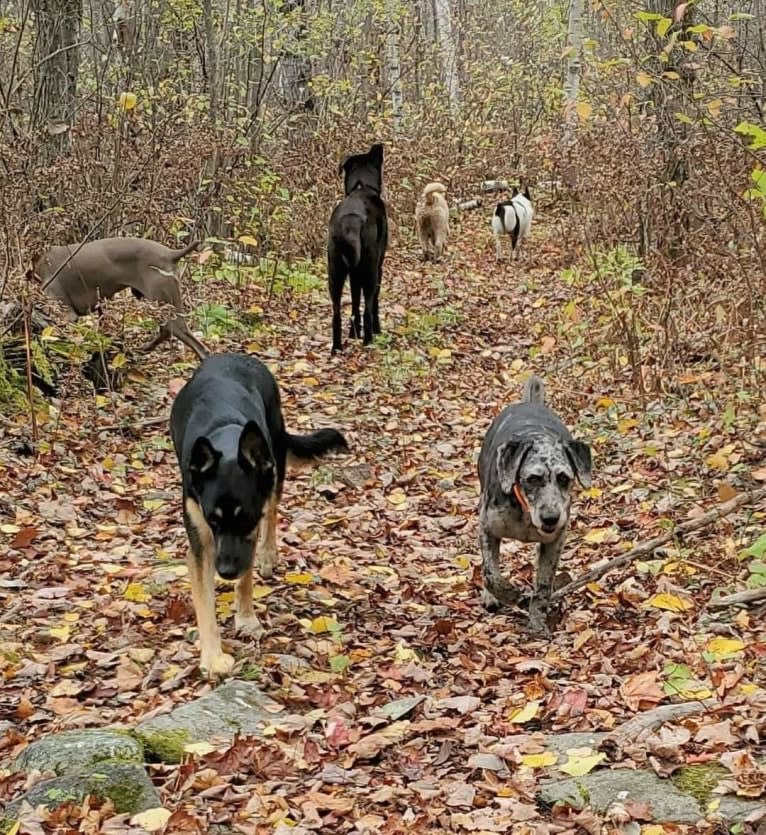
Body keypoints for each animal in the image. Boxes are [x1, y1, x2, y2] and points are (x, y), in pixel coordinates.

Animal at [328, 144, 390, 352]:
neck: (362, 186)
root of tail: (350, 221)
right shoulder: (378, 267)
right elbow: (372, 303)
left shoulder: (354, 275)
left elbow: (355, 302)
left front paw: (353, 333)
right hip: (370, 270)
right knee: (368, 309)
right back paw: (369, 339)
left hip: (335, 272)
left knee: (336, 313)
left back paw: (337, 347)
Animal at [480, 378, 592, 632]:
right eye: (533, 478)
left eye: (564, 478)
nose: (551, 518)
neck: (525, 513)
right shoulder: (487, 528)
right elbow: (491, 574)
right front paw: (511, 595)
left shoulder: (555, 541)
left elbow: (543, 584)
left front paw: (538, 624)